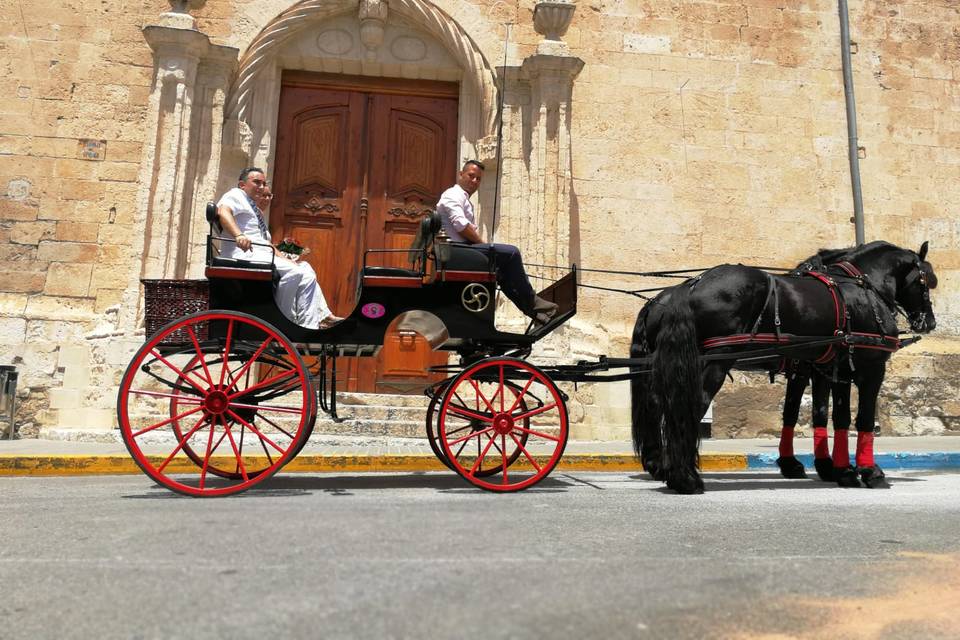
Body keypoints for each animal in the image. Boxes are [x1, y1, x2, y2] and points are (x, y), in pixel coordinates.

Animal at [632, 241, 936, 496]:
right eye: (926, 281)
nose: (929, 322)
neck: (863, 288)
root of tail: (690, 286)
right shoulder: (868, 368)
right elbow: (861, 419)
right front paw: (868, 471)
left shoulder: (830, 368)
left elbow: (826, 416)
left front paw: (837, 470)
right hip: (715, 360)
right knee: (690, 405)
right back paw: (685, 478)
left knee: (657, 404)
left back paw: (665, 468)